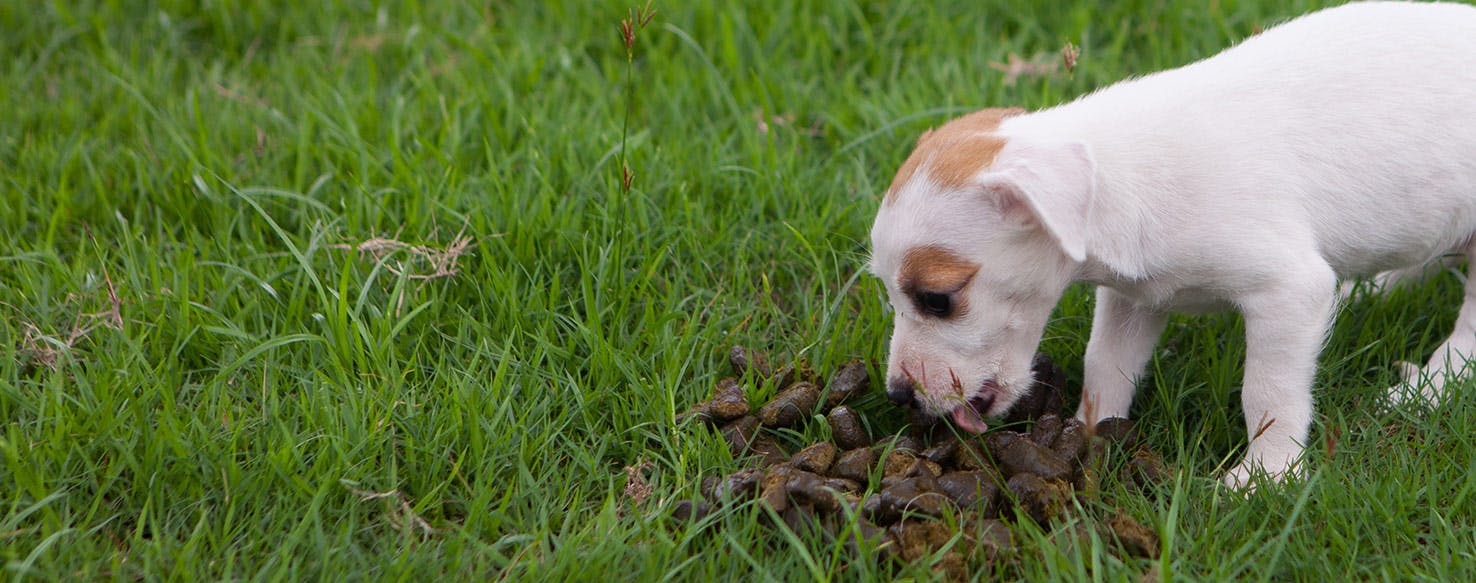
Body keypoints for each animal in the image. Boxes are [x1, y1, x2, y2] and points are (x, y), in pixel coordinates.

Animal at [867, 1, 1476, 490]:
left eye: (937, 299)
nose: (897, 396)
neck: (1123, 173)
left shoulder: (1288, 291)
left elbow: (1268, 394)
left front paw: (1265, 475)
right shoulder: (1133, 300)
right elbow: (1105, 366)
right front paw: (1086, 434)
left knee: (1468, 327)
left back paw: (1431, 383)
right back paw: (1371, 291)